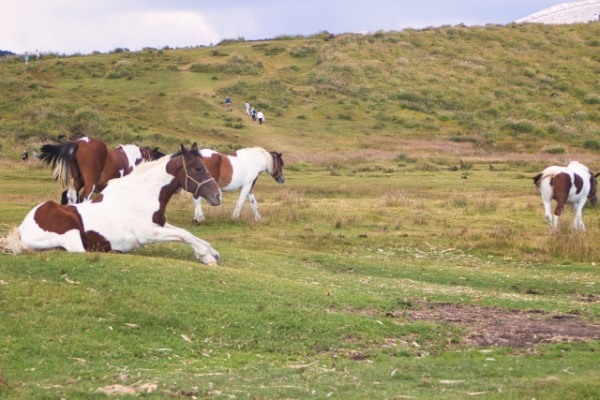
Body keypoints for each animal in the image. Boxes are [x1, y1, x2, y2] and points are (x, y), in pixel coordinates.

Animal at [3, 145, 224, 264]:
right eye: (197, 168)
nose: (217, 195)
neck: (144, 192)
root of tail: (22, 229)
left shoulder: (159, 224)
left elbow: (188, 233)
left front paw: (210, 251)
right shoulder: (147, 233)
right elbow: (184, 235)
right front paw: (206, 256)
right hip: (71, 233)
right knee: (76, 249)